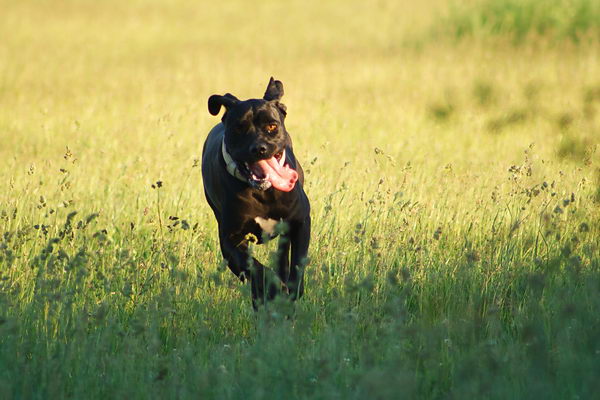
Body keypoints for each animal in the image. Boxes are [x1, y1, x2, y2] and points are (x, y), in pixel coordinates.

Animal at [204, 79, 312, 310]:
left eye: (272, 126)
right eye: (239, 128)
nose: (259, 148)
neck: (264, 193)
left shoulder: (300, 222)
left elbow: (297, 265)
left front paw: (289, 293)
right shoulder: (230, 239)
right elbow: (255, 268)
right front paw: (272, 288)